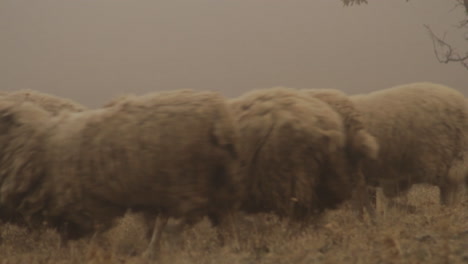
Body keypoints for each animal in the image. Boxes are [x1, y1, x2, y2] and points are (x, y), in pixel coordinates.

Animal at [300, 88, 380, 217]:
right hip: (351, 155)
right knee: (360, 183)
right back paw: (368, 217)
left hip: (341, 156)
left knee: (354, 186)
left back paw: (357, 216)